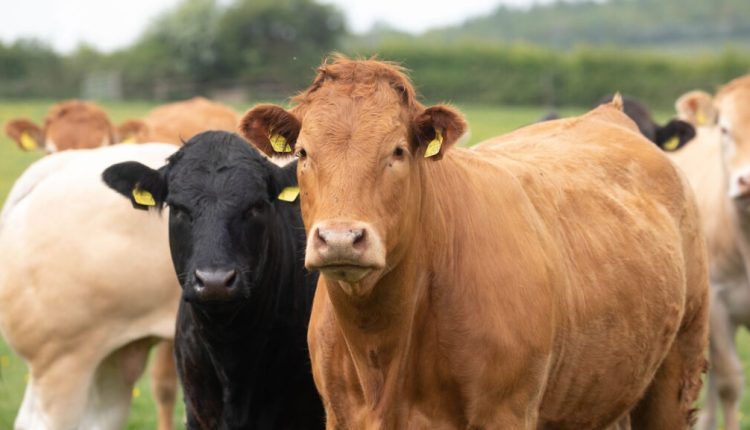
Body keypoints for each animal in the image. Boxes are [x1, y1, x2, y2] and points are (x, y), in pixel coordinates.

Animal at [241, 58, 712, 430]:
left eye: (397, 151)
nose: (340, 238)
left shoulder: (505, 412)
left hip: (677, 373)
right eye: (303, 153)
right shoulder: (340, 415)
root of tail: (607, 116)